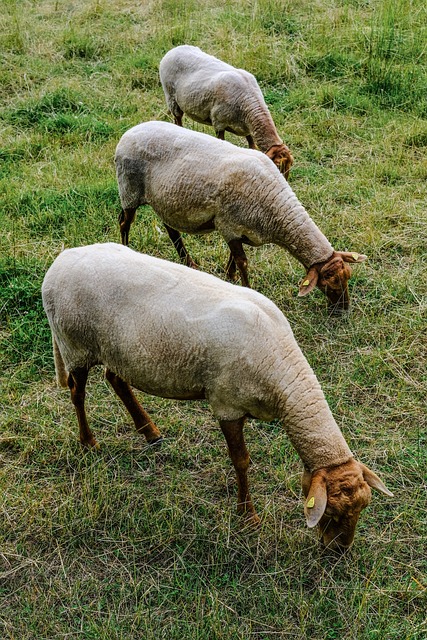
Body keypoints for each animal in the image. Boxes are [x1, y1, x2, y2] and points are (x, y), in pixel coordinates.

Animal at [40, 242, 392, 548]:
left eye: (362, 509)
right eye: (330, 511)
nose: (339, 550)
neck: (283, 373)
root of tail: (59, 262)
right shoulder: (226, 403)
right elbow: (241, 461)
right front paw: (248, 516)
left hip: (118, 349)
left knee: (115, 379)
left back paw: (150, 431)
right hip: (75, 344)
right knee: (77, 392)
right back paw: (89, 442)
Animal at [114, 121, 368, 314]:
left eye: (348, 277)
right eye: (329, 284)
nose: (343, 310)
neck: (276, 208)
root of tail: (130, 131)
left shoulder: (237, 228)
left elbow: (233, 258)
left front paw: (230, 277)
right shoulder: (228, 224)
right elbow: (243, 261)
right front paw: (246, 287)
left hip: (166, 201)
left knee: (171, 229)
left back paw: (189, 262)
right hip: (129, 189)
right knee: (125, 222)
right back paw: (126, 248)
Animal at [160, 43, 294, 178]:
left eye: (289, 166)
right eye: (277, 166)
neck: (249, 104)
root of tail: (174, 50)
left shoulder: (247, 128)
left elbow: (252, 146)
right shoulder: (218, 122)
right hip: (172, 98)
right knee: (177, 119)